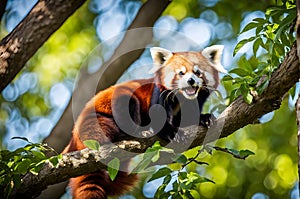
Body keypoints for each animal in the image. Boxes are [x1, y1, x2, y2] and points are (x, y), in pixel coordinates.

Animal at [62, 45, 225, 199]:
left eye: (198, 73)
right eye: (181, 73)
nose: (191, 81)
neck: (182, 98)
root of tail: (73, 138)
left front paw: (204, 118)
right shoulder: (158, 95)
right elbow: (158, 117)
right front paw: (170, 132)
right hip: (98, 118)